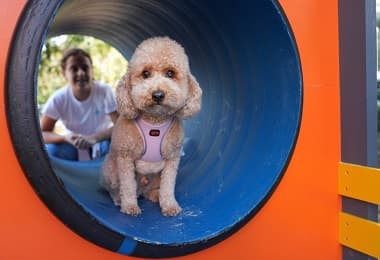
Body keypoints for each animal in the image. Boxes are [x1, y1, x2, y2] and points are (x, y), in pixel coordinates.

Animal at [100, 36, 202, 215]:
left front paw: (169, 205)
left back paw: (154, 195)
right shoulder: (125, 158)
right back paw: (119, 199)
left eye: (170, 73)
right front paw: (130, 206)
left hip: (154, 176)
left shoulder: (172, 158)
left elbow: (168, 185)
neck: (155, 120)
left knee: (150, 189)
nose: (158, 94)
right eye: (145, 74)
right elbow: (127, 186)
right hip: (110, 171)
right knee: (118, 189)